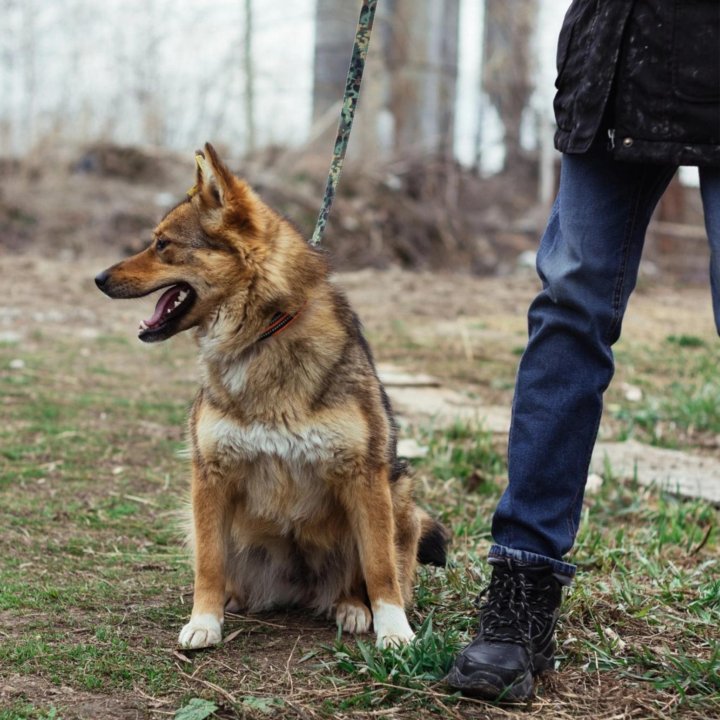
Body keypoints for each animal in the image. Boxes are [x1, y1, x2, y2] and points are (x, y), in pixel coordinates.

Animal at [95, 143, 444, 648]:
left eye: (162, 244)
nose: (98, 278)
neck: (262, 335)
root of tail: (301, 587)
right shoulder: (210, 476)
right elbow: (209, 563)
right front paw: (204, 621)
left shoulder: (364, 476)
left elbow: (380, 568)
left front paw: (394, 630)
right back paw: (234, 599)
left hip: (400, 496)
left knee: (361, 574)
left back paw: (352, 608)